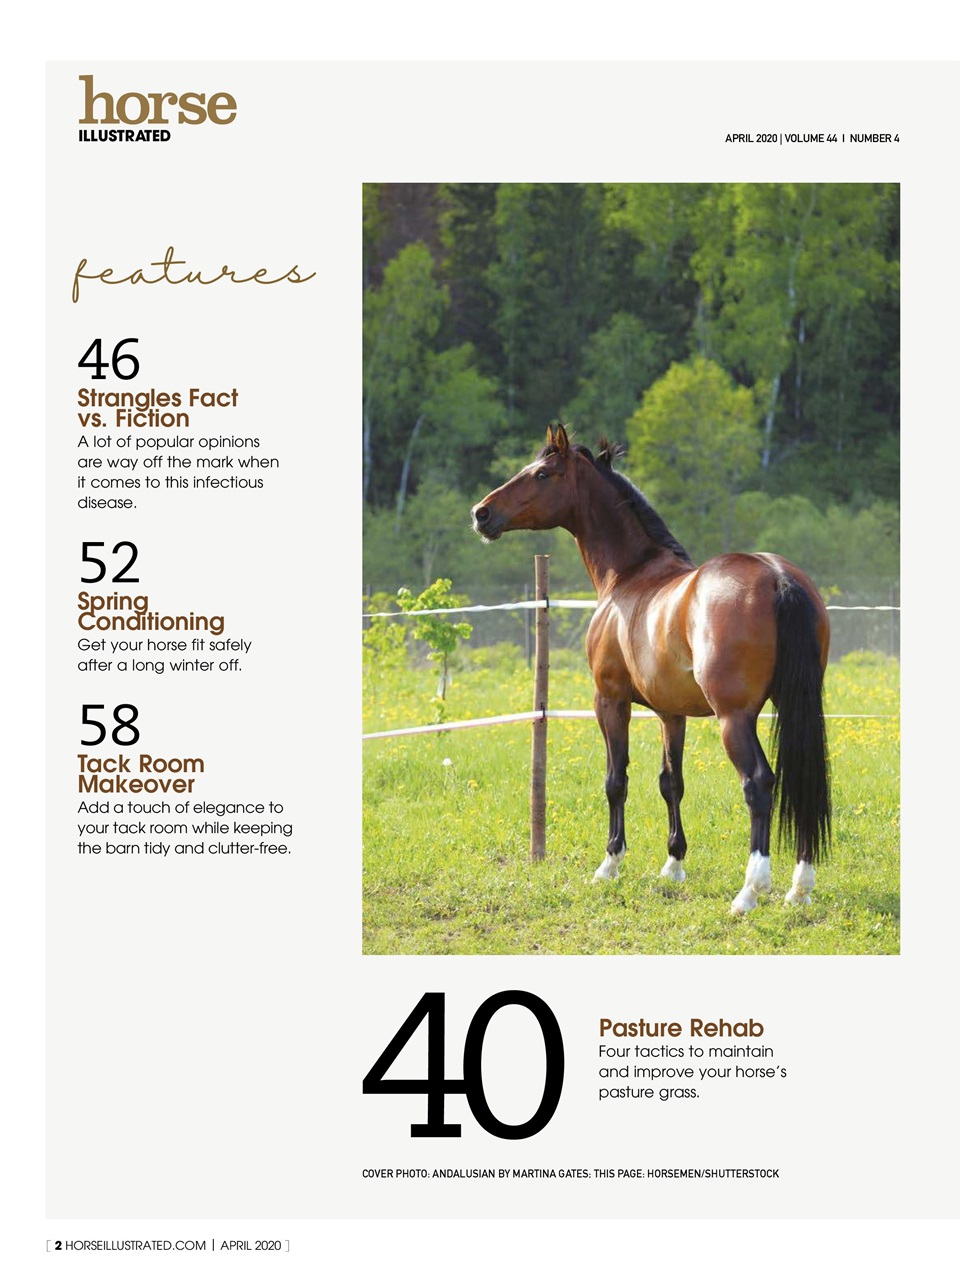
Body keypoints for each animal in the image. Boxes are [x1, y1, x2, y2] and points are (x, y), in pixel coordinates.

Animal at [471, 424, 830, 915]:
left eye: (542, 473)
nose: (481, 513)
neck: (630, 575)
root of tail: (778, 577)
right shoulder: (670, 712)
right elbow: (671, 782)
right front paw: (674, 864)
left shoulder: (610, 701)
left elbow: (616, 780)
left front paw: (609, 864)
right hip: (796, 706)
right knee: (803, 781)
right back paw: (800, 888)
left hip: (735, 719)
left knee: (759, 784)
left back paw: (750, 891)